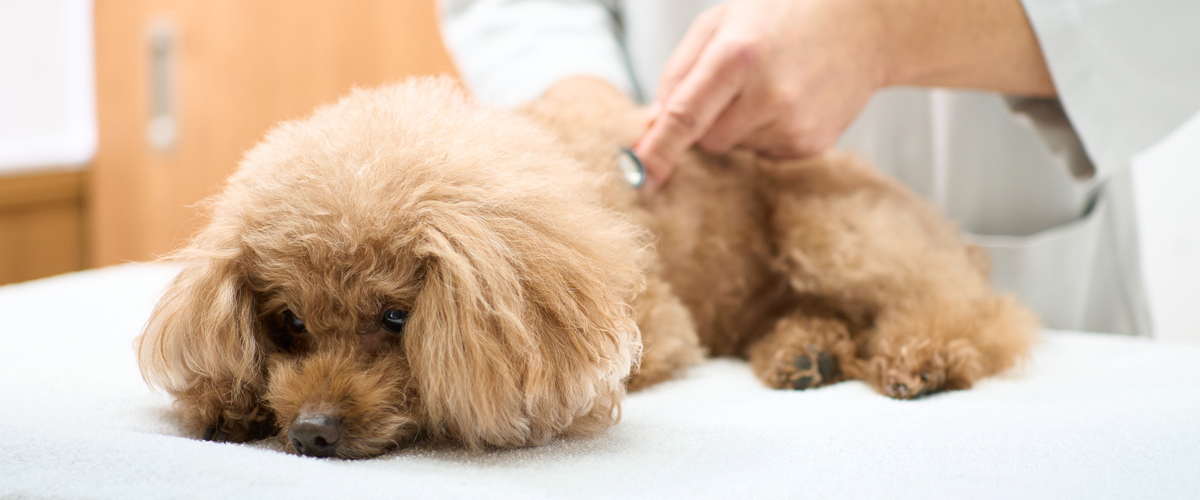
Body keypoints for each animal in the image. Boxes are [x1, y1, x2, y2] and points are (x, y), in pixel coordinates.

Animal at [138, 76, 1041, 455]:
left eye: (397, 318)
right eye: (288, 324)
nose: (312, 433)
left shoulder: (653, 328)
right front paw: (226, 403)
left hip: (832, 222)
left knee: (972, 308)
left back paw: (922, 357)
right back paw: (805, 353)